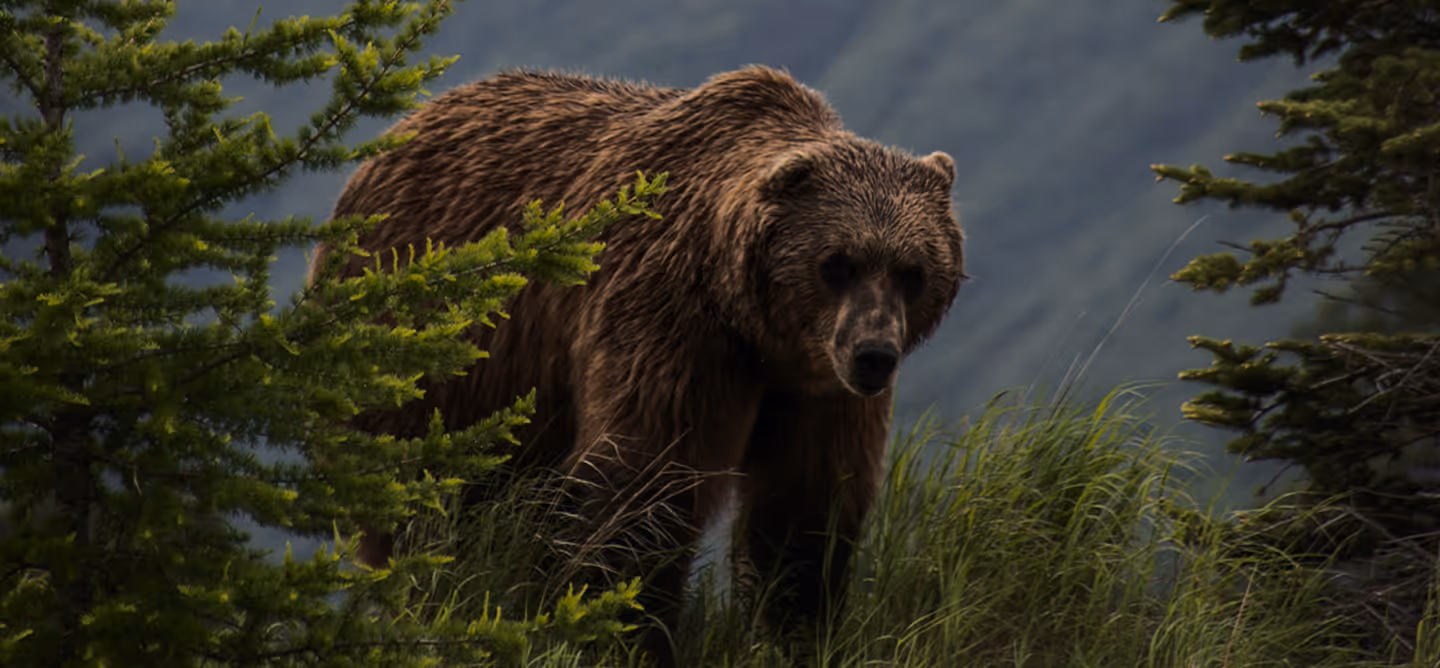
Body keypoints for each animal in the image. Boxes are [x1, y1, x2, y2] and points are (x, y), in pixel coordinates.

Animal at [308, 65, 965, 663]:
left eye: (912, 270)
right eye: (837, 263)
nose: (874, 355)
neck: (752, 324)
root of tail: (395, 134)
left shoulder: (815, 391)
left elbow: (805, 507)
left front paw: (794, 630)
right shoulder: (671, 324)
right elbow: (643, 484)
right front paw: (623, 631)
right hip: (430, 360)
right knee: (428, 507)